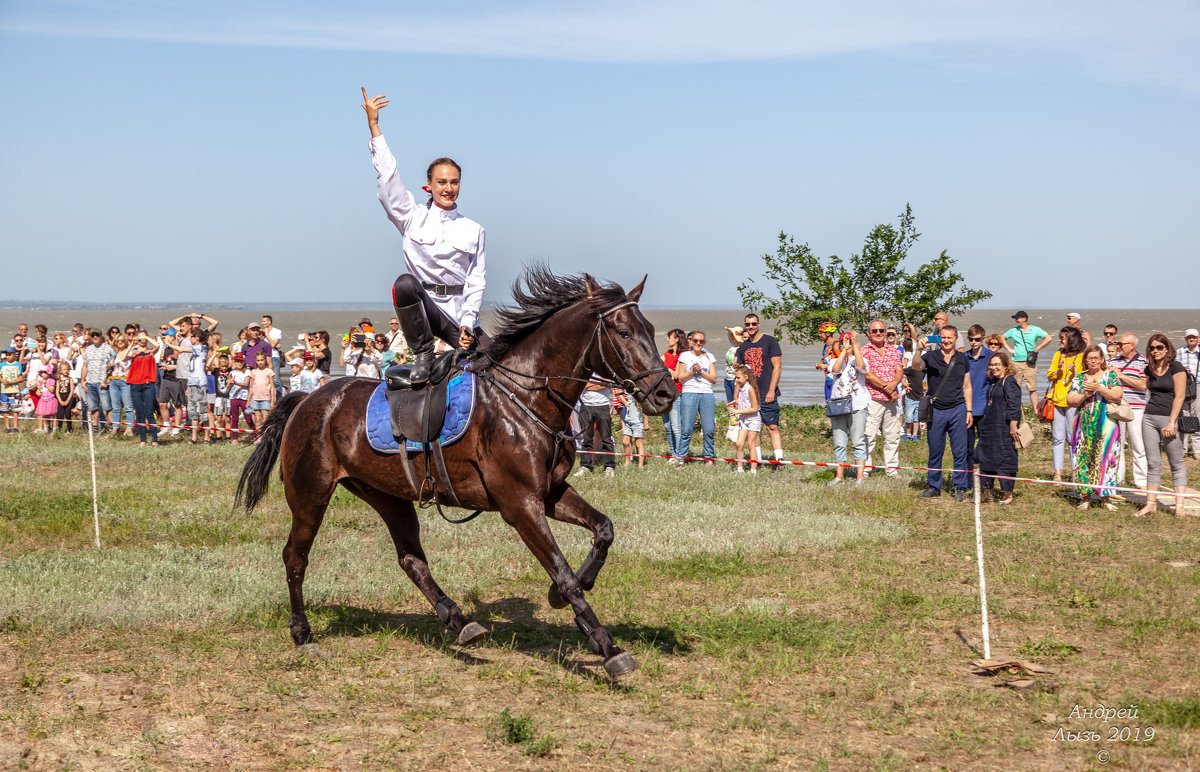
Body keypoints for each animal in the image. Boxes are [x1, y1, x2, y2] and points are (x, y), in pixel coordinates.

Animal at [234, 270, 676, 677]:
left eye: (650, 330)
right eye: (623, 331)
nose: (665, 394)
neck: (526, 399)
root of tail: (309, 398)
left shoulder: (549, 493)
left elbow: (604, 530)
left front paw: (568, 593)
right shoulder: (521, 505)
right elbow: (563, 571)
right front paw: (607, 645)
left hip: (387, 495)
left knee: (411, 559)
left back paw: (459, 621)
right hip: (310, 495)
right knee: (296, 557)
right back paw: (302, 631)